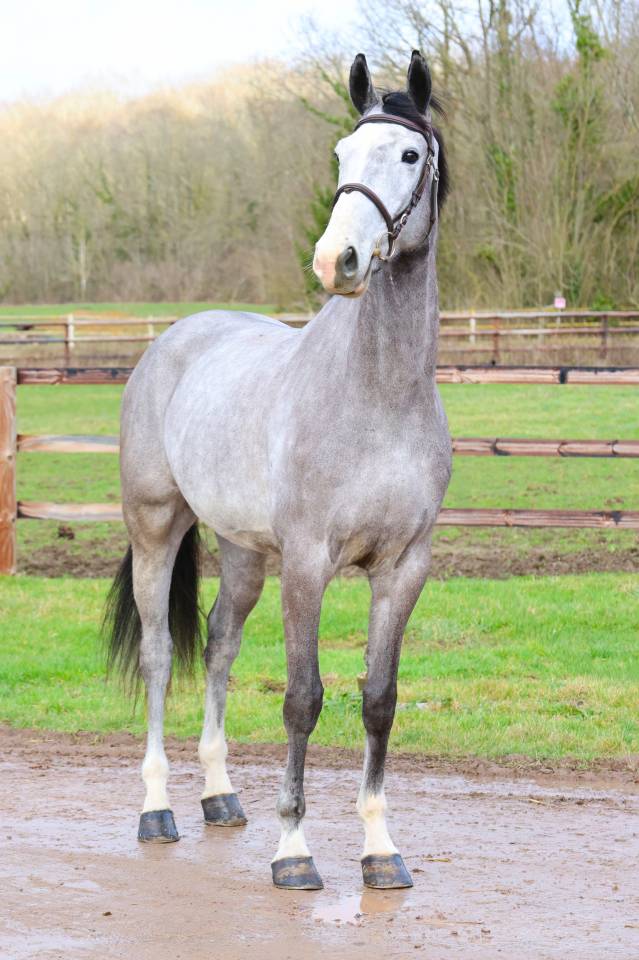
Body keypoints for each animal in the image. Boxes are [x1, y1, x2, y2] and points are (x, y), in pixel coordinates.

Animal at [105, 49, 451, 892]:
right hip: (156, 528)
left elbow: (378, 699)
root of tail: (175, 340)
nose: (338, 260)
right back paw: (157, 809)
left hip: (241, 554)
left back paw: (220, 797)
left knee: (220, 645)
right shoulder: (307, 563)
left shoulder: (403, 567)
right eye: (340, 153)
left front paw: (379, 849)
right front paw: (294, 850)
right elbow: (302, 697)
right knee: (162, 652)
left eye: (409, 154)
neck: (378, 395)